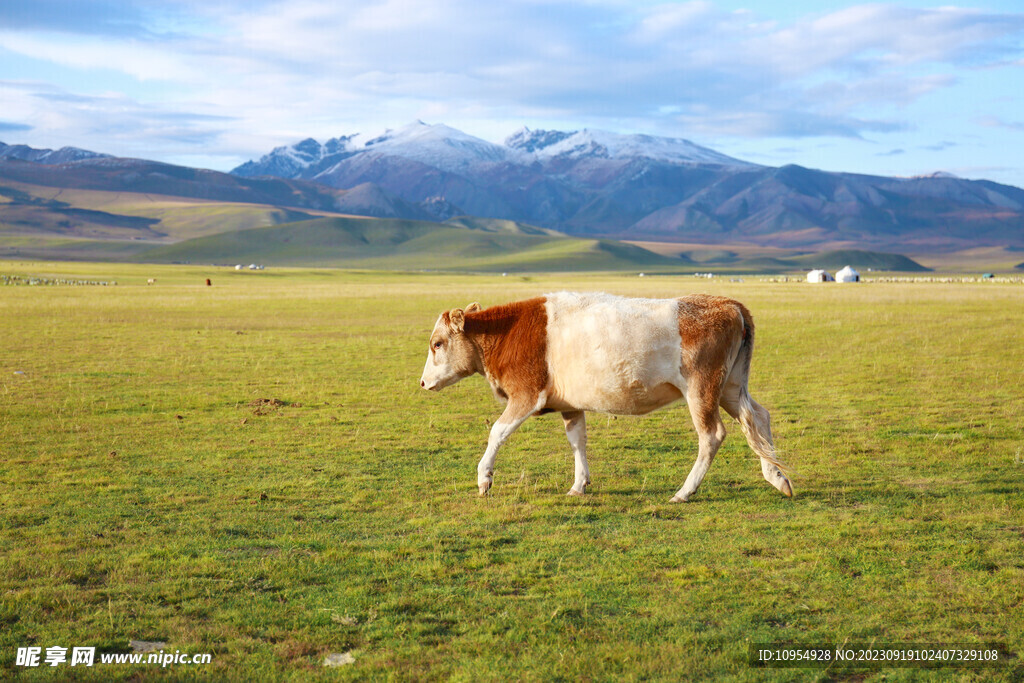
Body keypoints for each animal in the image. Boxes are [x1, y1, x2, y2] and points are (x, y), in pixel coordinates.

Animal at [419, 290, 786, 505]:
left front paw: (484, 478)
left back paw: (685, 491)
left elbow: (497, 431)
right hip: (731, 386)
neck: (508, 332)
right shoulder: (569, 405)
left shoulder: (526, 394)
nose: (423, 382)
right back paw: (778, 477)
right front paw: (579, 484)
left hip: (702, 388)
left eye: (437, 343)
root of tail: (729, 304)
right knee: (758, 417)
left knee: (712, 435)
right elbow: (577, 441)